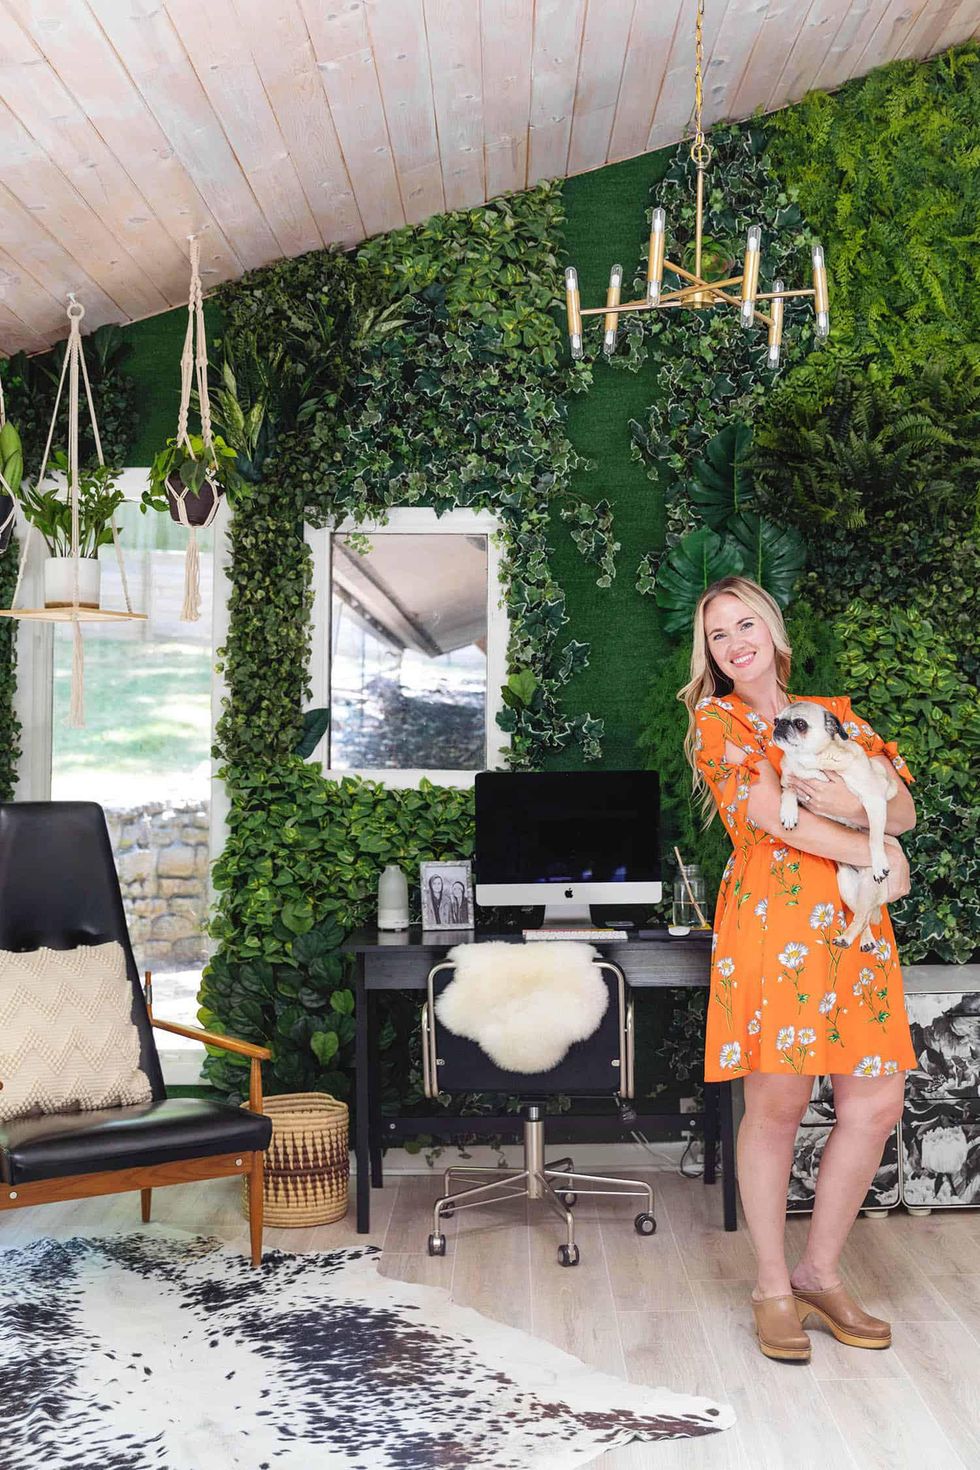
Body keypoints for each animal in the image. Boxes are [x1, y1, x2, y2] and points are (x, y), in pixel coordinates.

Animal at [771, 701, 900, 951]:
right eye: (776, 720)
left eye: (800, 724)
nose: (779, 725)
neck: (811, 761)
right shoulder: (793, 784)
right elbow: (789, 791)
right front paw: (788, 813)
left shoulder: (874, 799)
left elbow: (874, 837)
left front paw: (879, 861)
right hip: (847, 887)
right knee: (863, 916)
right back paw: (863, 939)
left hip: (869, 886)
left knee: (863, 916)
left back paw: (847, 938)